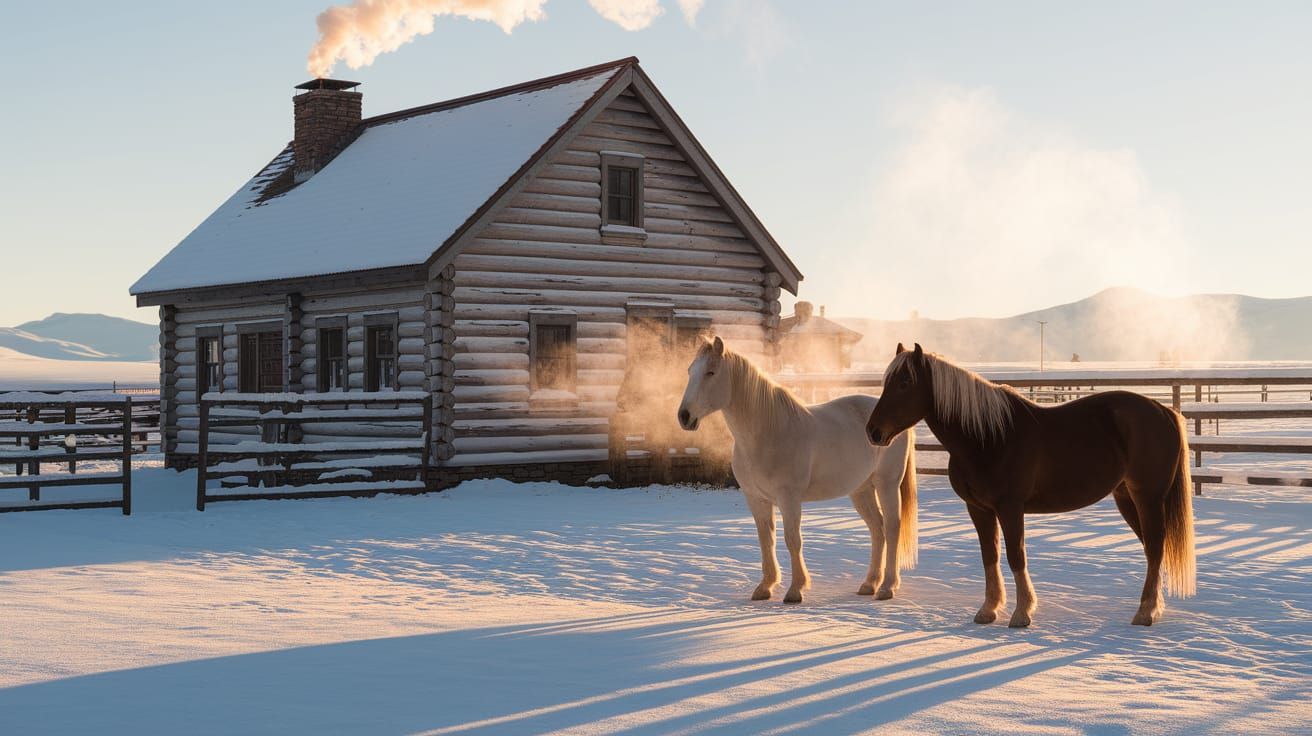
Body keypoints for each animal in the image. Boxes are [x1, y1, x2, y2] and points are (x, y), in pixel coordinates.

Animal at [678, 336, 917, 603]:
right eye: (690, 371)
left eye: (711, 372)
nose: (684, 416)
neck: (767, 432)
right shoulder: (756, 499)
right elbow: (766, 539)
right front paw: (765, 587)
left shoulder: (789, 498)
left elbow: (792, 540)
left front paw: (795, 590)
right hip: (861, 490)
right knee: (877, 530)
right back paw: (869, 584)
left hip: (887, 484)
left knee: (892, 528)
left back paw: (887, 587)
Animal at [865, 343, 1195, 627]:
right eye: (886, 381)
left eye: (905, 382)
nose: (873, 432)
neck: (987, 437)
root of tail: (1164, 411)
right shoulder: (979, 509)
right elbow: (990, 556)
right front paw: (988, 609)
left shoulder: (1010, 508)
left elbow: (1015, 555)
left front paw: (1022, 613)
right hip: (1126, 497)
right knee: (1153, 547)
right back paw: (1153, 607)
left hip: (1147, 497)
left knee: (1155, 548)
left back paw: (1145, 612)